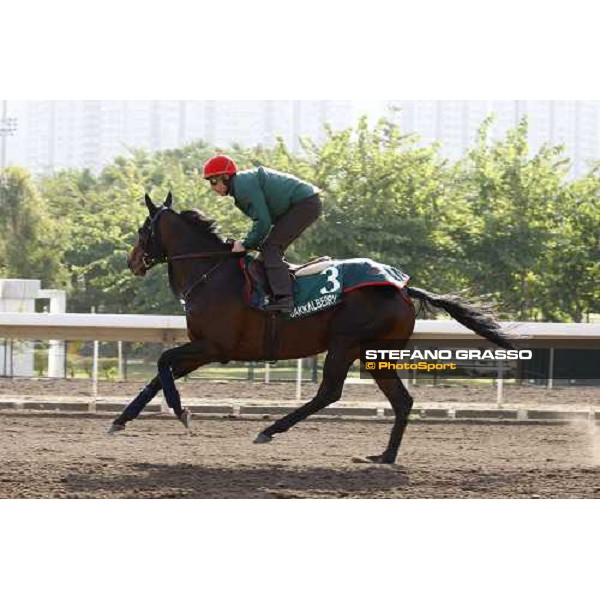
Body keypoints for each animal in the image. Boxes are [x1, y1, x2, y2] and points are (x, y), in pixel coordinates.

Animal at [111, 192, 516, 464]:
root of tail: (402, 287)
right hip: (375, 354)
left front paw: (182, 412)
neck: (211, 273)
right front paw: (119, 420)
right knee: (401, 400)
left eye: (143, 229)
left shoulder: (214, 347)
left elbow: (162, 362)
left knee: (330, 392)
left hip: (346, 342)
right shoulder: (201, 349)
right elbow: (158, 374)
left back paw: (270, 430)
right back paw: (384, 456)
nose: (132, 261)